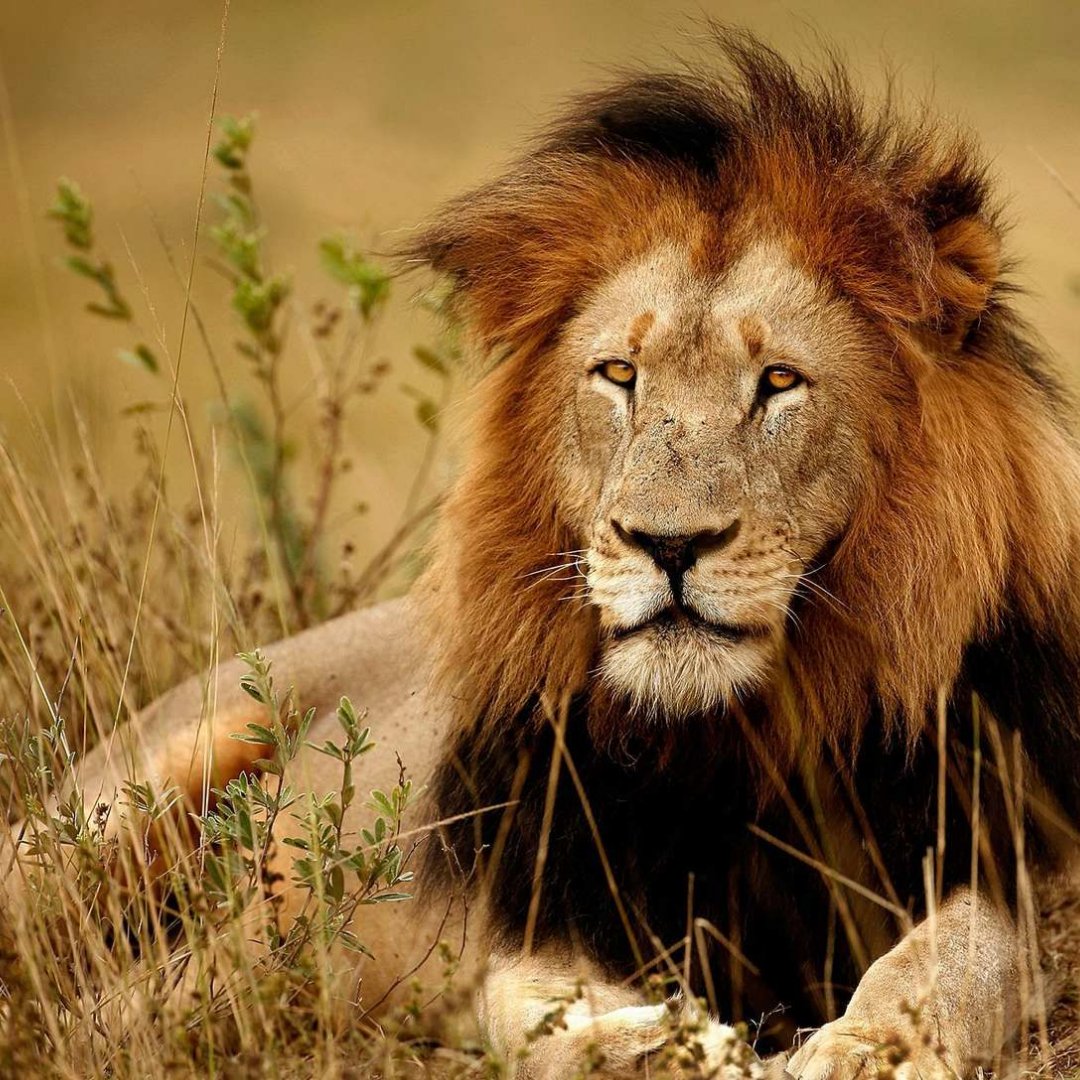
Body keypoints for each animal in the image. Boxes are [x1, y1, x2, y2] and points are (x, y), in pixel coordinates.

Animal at [13, 30, 1080, 1080]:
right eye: (618, 374)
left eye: (779, 382)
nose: (668, 543)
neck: (731, 742)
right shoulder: (533, 907)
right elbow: (532, 1013)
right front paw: (652, 1046)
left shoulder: (994, 854)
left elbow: (954, 959)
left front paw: (868, 1048)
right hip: (97, 824)